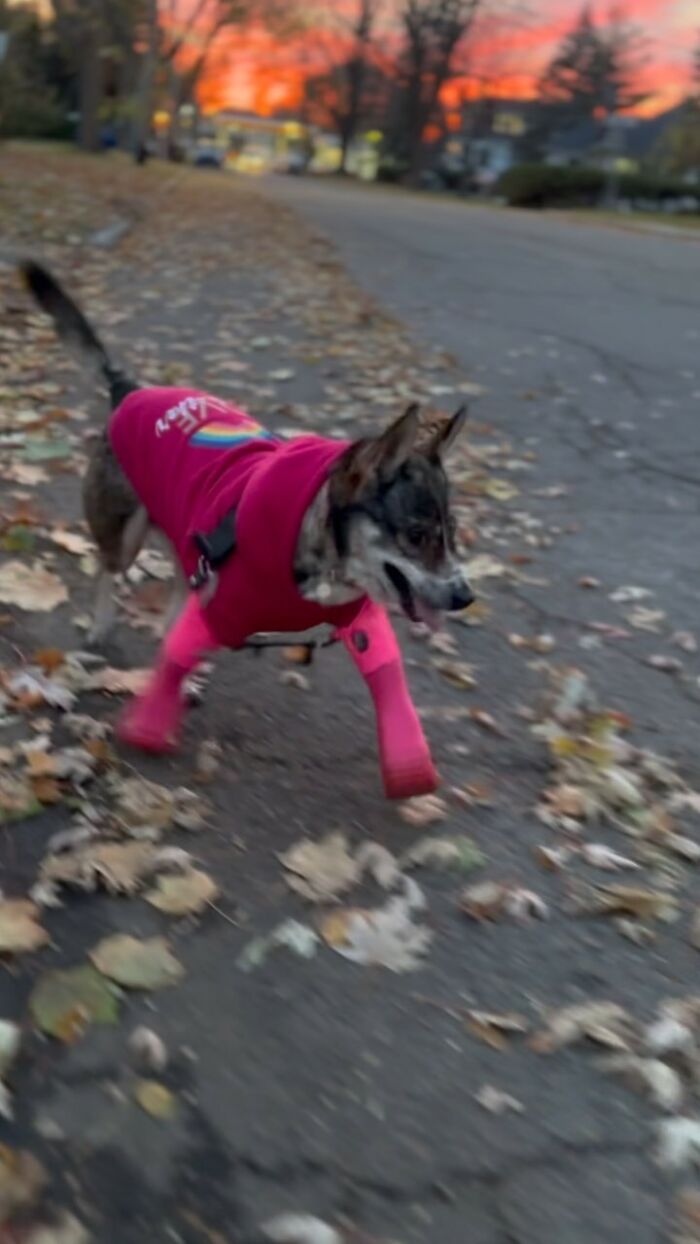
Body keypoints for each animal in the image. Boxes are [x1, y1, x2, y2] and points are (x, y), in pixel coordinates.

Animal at [20, 261, 477, 796]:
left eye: (452, 532)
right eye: (417, 535)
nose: (465, 596)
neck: (312, 545)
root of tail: (130, 390)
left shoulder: (361, 625)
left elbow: (390, 683)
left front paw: (410, 763)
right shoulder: (219, 604)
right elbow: (173, 663)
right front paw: (151, 721)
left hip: (184, 541)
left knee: (173, 603)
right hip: (126, 535)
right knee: (107, 569)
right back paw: (102, 624)